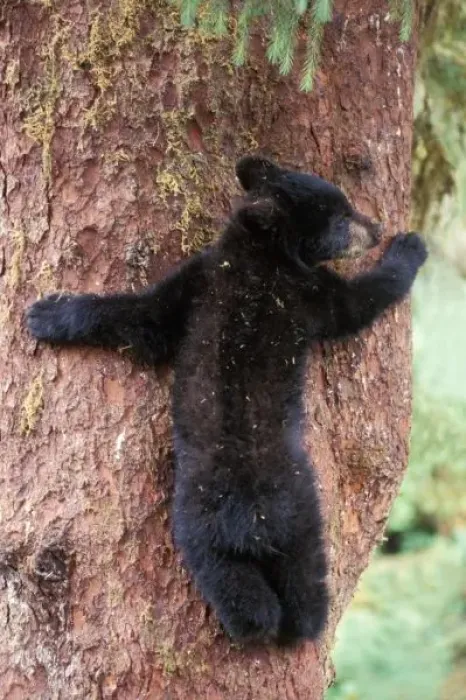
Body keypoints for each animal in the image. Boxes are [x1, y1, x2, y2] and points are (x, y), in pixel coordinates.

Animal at [26, 155, 427, 644]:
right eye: (340, 216)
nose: (377, 226)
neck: (259, 254)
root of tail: (250, 514)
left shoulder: (238, 282)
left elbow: (146, 319)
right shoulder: (231, 279)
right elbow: (143, 318)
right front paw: (47, 312)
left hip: (233, 524)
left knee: (268, 585)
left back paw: (285, 626)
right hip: (257, 522)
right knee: (282, 582)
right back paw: (289, 625)